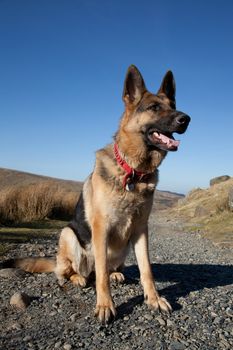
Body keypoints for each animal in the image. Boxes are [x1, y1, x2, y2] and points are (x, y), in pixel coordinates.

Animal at [6, 65, 190, 322]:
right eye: (154, 107)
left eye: (172, 105)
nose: (186, 119)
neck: (132, 171)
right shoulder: (101, 228)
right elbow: (101, 274)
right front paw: (105, 305)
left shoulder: (141, 230)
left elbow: (146, 269)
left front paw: (153, 299)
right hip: (68, 235)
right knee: (72, 273)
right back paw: (79, 278)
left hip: (122, 249)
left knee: (109, 269)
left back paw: (117, 274)